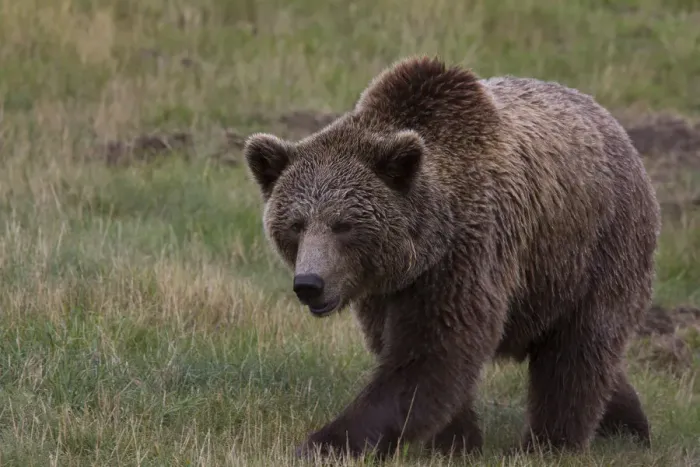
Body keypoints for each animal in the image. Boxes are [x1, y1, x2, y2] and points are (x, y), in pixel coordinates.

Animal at [243, 56, 660, 460]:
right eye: (296, 224)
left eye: (343, 224)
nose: (309, 284)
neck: (422, 250)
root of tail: (616, 128)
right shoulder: (384, 291)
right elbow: (410, 354)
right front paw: (456, 440)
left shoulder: (466, 254)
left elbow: (431, 355)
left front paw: (325, 442)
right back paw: (627, 425)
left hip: (594, 249)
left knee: (577, 352)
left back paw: (551, 443)